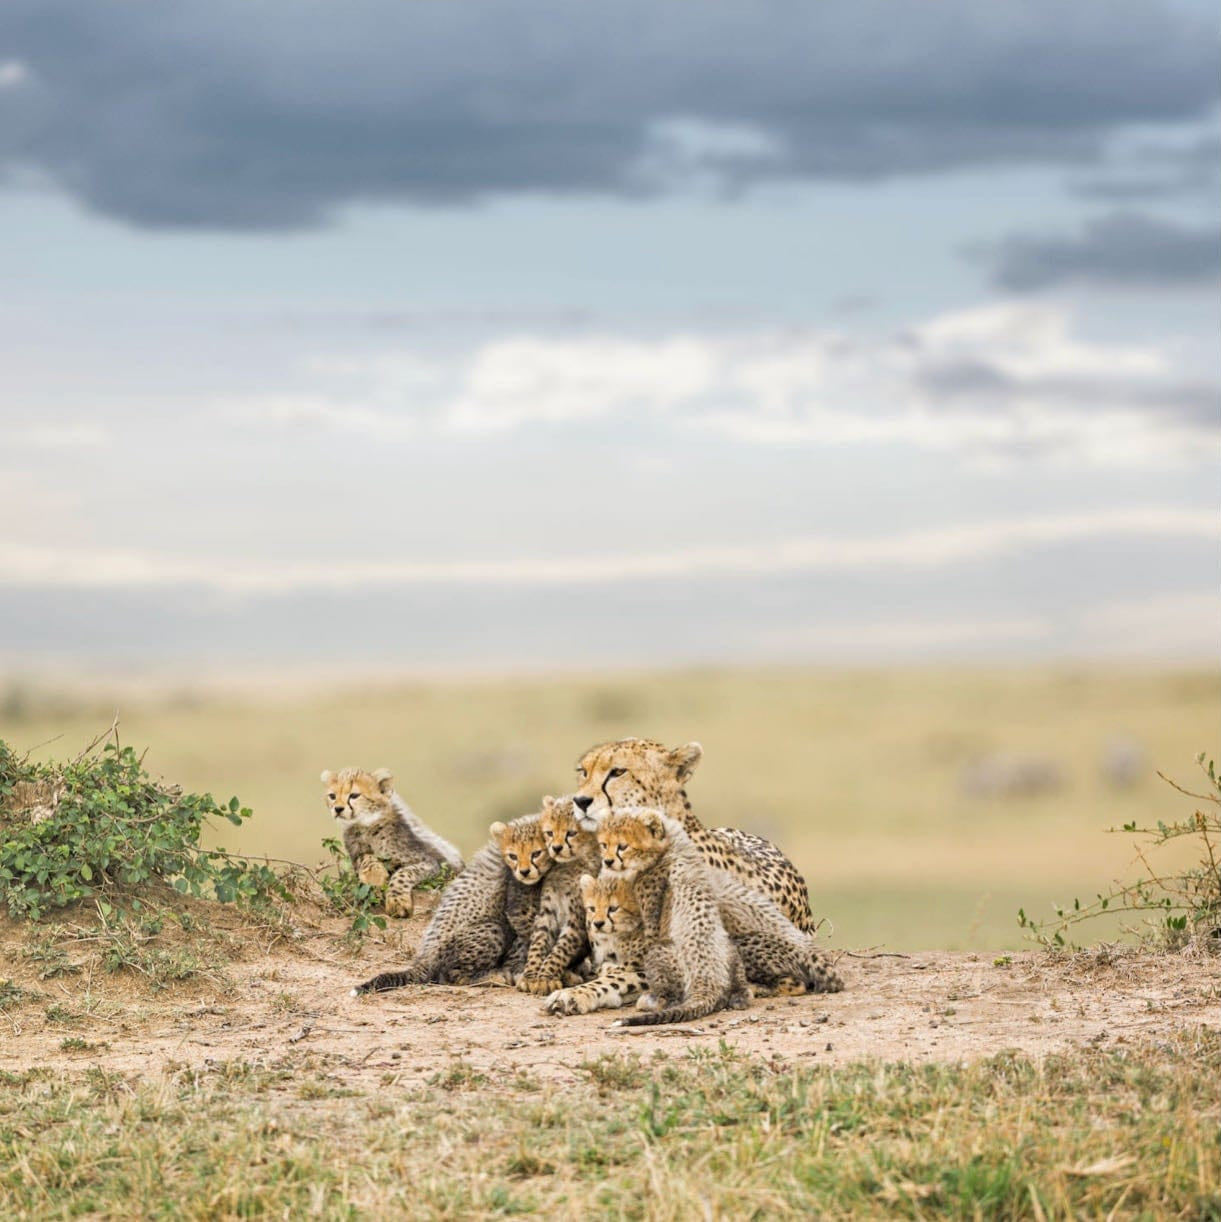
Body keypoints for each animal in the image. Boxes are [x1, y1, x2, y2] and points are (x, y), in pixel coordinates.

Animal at [322, 768, 463, 918]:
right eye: (332, 796)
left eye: (354, 795)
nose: (338, 809)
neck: (366, 824)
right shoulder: (355, 854)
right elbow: (366, 856)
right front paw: (374, 876)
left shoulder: (430, 863)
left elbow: (404, 873)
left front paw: (397, 902)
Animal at [593, 807, 751, 1027]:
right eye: (604, 844)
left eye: (623, 846)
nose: (607, 861)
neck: (668, 847)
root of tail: (707, 979)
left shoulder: (650, 925)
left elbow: (632, 959)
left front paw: (611, 968)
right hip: (730, 952)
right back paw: (740, 997)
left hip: (661, 954)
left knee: (672, 996)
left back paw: (650, 1001)